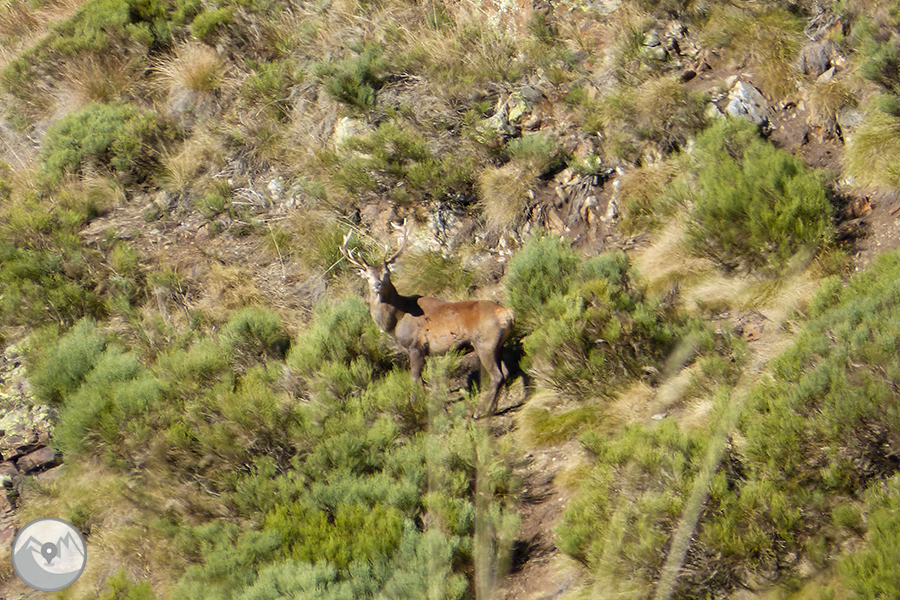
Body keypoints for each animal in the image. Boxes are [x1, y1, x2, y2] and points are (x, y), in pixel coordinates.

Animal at [340, 220, 515, 418]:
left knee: (497, 376)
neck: (396, 321)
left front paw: (415, 406)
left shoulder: (416, 346)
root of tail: (509, 314)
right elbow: (423, 382)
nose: (377, 285)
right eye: (368, 276)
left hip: (485, 343)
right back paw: (493, 408)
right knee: (506, 373)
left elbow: (414, 380)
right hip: (498, 344)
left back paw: (480, 412)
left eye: (386, 273)